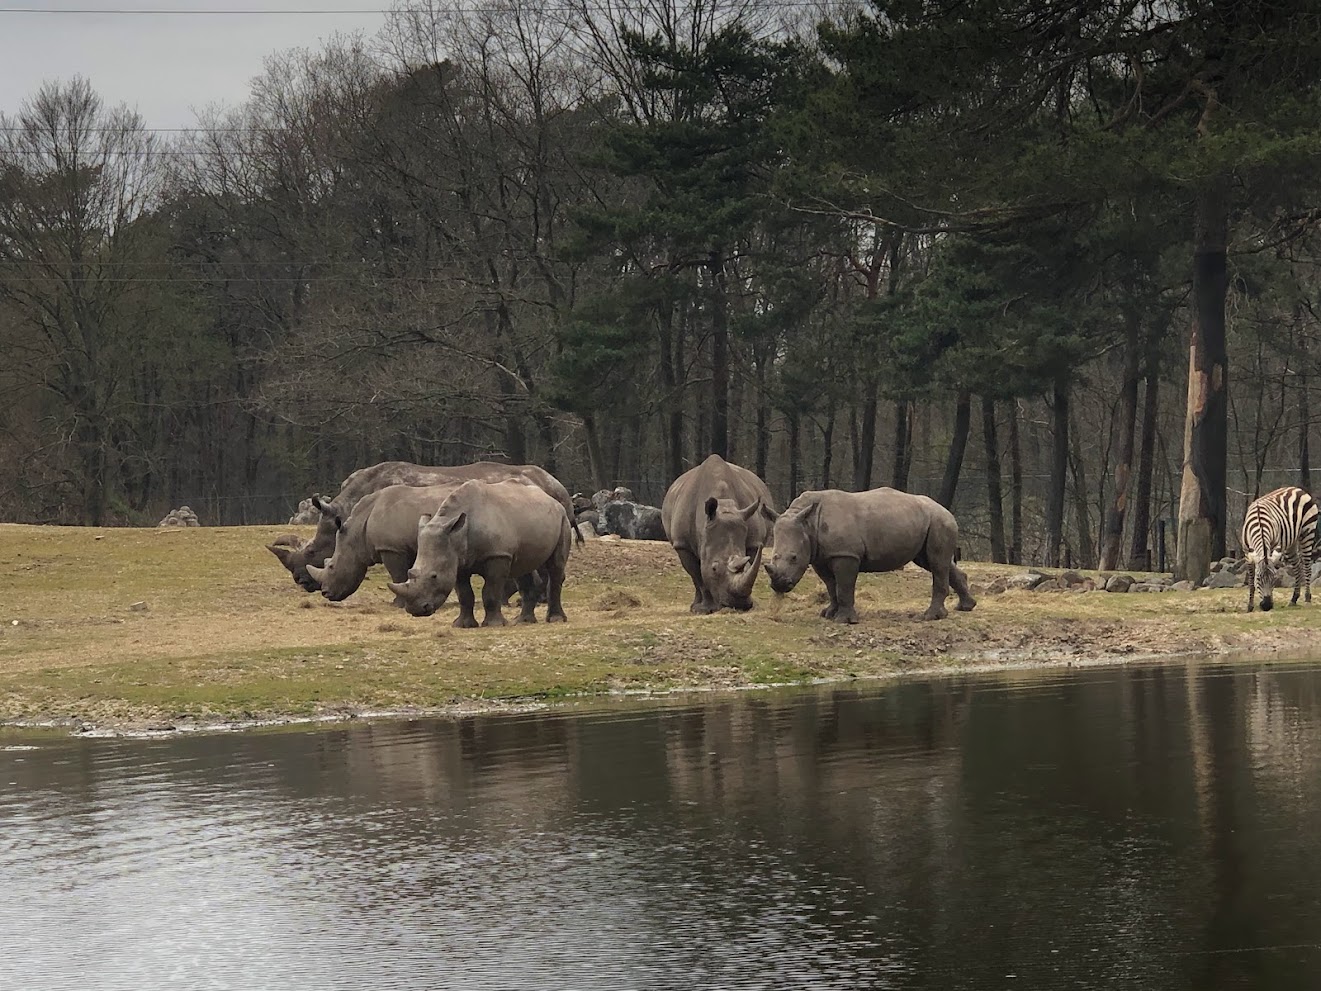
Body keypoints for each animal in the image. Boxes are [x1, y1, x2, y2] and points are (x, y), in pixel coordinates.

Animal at [388, 478, 571, 627]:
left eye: (434, 576)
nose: (416, 610)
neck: (456, 534)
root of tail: (552, 499)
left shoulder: (497, 555)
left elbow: (490, 591)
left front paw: (494, 624)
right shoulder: (457, 560)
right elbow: (464, 595)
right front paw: (462, 625)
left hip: (563, 518)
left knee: (555, 567)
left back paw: (555, 620)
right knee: (523, 569)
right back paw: (523, 621)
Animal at [660, 454, 778, 613]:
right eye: (714, 568)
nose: (739, 605)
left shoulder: (754, 542)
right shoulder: (682, 544)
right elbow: (698, 576)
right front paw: (704, 609)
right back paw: (695, 607)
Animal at [764, 488, 977, 623]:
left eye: (794, 558)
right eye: (774, 557)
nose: (779, 586)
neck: (807, 523)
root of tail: (947, 511)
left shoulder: (846, 554)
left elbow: (843, 587)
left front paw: (844, 620)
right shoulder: (820, 556)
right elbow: (831, 586)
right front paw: (828, 614)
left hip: (940, 521)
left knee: (936, 563)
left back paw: (929, 617)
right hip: (927, 522)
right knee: (933, 562)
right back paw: (965, 607)